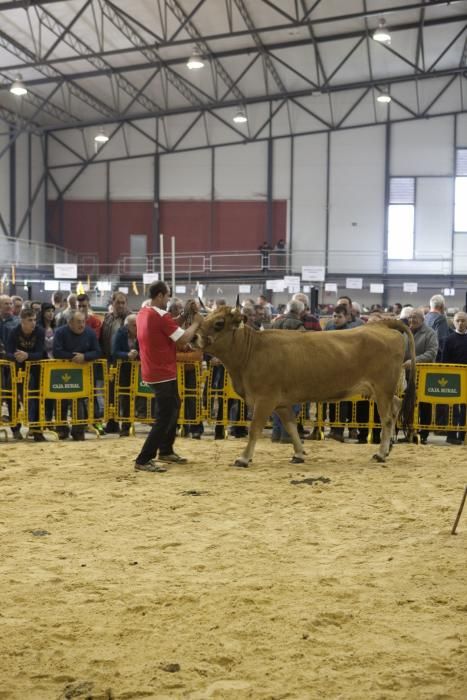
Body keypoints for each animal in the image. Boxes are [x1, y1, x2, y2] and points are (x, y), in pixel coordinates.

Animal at [194, 308, 416, 468]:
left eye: (219, 323)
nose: (194, 337)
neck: (251, 352)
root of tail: (381, 324)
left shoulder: (265, 399)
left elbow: (255, 429)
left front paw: (243, 458)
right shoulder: (281, 403)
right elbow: (291, 427)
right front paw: (299, 454)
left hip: (382, 388)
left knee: (387, 419)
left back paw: (380, 453)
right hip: (381, 391)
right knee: (396, 406)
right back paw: (388, 448)